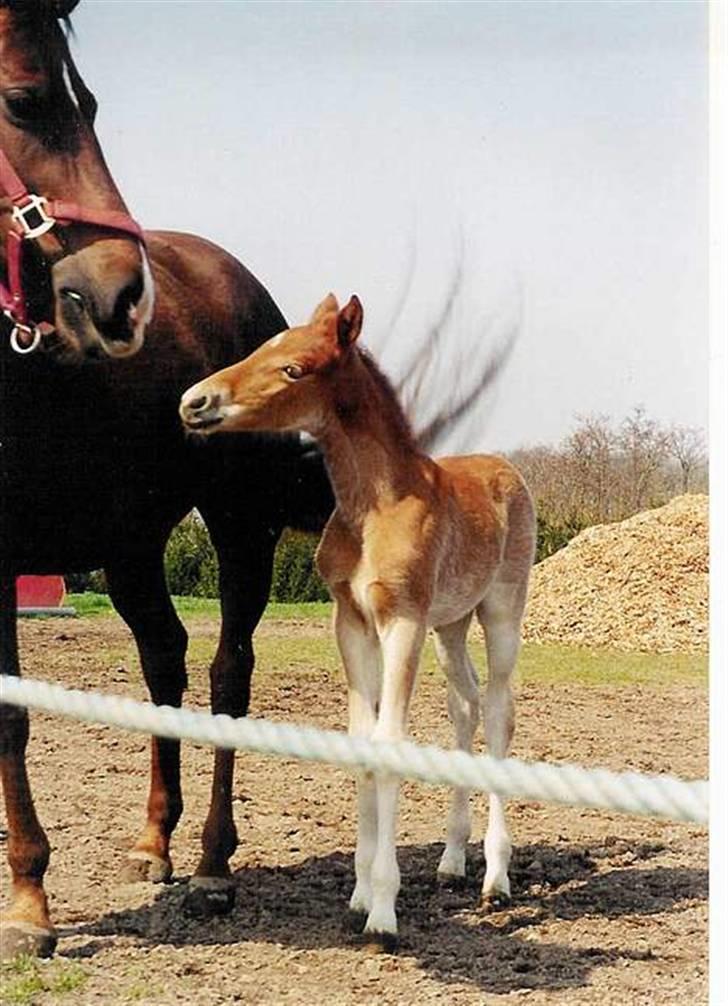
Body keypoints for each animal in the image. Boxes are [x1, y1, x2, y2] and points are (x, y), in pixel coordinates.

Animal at [0, 0, 329, 957]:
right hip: (131, 548)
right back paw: (156, 841)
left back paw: (214, 864)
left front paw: (30, 904)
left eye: (90, 104)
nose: (120, 298)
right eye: (25, 101)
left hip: (239, 529)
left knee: (225, 675)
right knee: (164, 664)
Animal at [182, 293, 534, 945]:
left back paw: (495, 878)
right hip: (450, 625)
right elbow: (360, 743)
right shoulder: (351, 622)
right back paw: (452, 862)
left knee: (499, 713)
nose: (195, 402)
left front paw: (384, 914)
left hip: (499, 610)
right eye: (262, 347)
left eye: (294, 368)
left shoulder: (402, 619)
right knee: (464, 707)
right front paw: (358, 894)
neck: (376, 506)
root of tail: (507, 471)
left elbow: (390, 742)